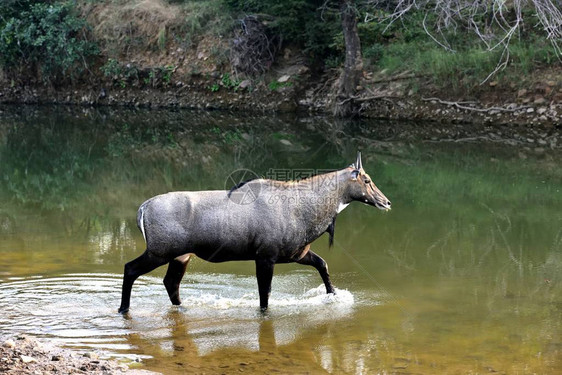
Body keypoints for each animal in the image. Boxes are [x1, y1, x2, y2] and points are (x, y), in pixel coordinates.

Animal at [118, 153, 390, 314]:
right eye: (367, 180)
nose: (386, 202)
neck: (305, 209)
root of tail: (143, 208)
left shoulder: (298, 254)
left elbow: (323, 265)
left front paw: (333, 295)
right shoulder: (265, 256)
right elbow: (265, 295)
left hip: (181, 256)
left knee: (171, 283)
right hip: (159, 252)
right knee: (131, 268)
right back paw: (123, 309)